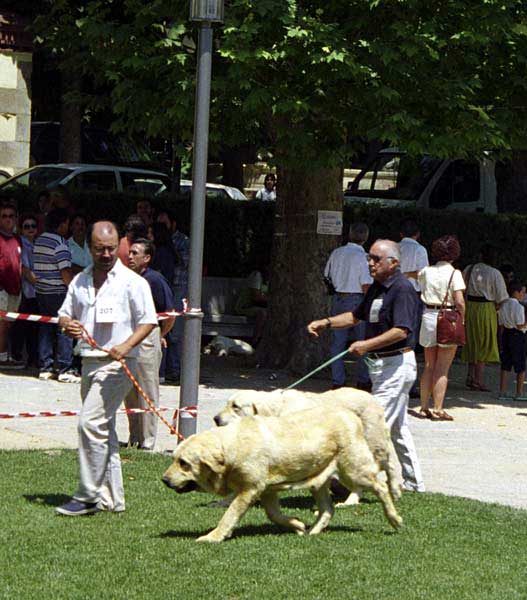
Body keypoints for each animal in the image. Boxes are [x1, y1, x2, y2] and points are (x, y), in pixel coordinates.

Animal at [163, 408, 402, 544]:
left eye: (183, 463)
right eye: (174, 458)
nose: (164, 480)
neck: (230, 448)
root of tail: (352, 416)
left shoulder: (249, 489)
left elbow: (229, 516)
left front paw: (212, 537)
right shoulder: (265, 490)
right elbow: (274, 515)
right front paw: (298, 525)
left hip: (353, 471)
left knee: (381, 486)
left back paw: (395, 518)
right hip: (319, 479)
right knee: (328, 509)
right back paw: (313, 532)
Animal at [214, 390, 404, 506]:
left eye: (236, 407)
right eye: (227, 403)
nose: (215, 419)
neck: (277, 411)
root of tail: (372, 397)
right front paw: (224, 502)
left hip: (369, 444)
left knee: (388, 466)